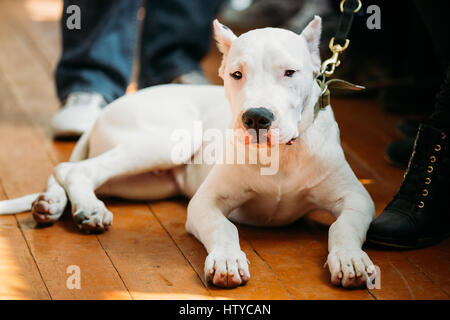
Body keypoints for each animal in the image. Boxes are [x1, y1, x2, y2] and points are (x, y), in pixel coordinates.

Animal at [0, 16, 376, 288]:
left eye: (290, 73)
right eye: (236, 74)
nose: (256, 117)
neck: (280, 157)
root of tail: (101, 114)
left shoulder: (357, 198)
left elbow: (343, 226)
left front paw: (351, 259)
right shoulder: (205, 203)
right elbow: (224, 228)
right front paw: (227, 260)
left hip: (147, 182)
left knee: (67, 170)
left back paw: (51, 204)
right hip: (168, 140)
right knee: (74, 169)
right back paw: (87, 209)